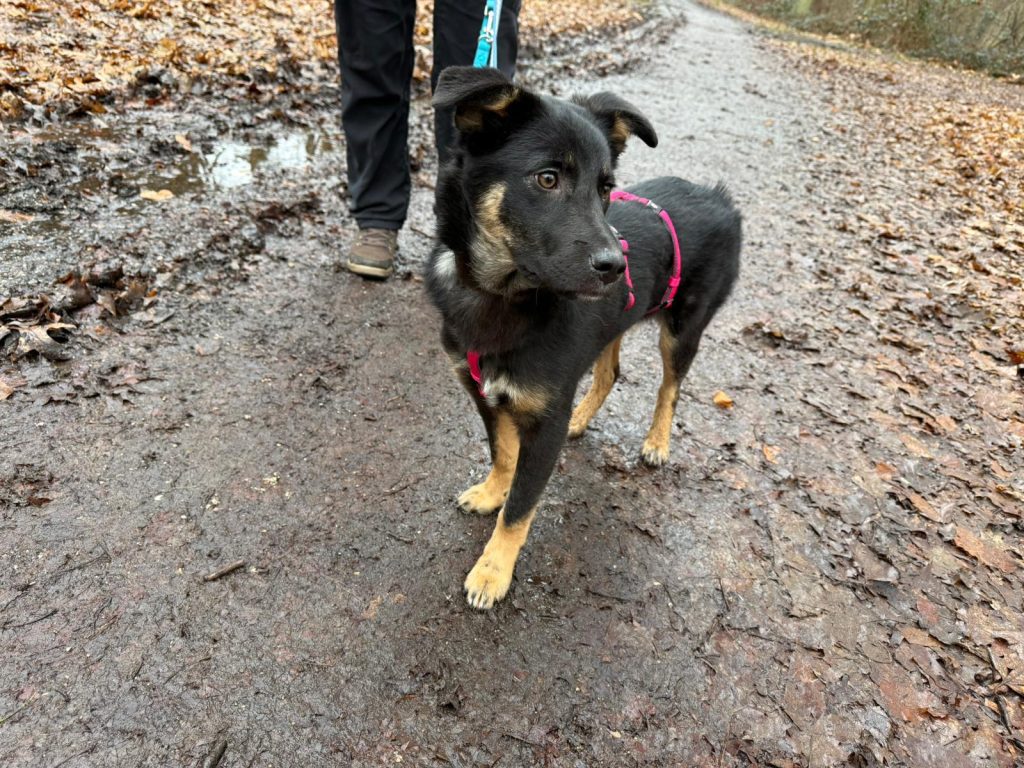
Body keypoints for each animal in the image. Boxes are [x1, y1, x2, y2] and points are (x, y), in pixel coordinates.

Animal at [425, 66, 741, 609]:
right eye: (547, 178)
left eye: (605, 188)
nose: (615, 265)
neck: (499, 294)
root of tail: (718, 196)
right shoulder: (485, 395)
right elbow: (502, 455)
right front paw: (491, 492)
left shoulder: (544, 420)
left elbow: (521, 507)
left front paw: (492, 571)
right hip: (616, 320)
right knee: (610, 371)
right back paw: (584, 418)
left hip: (683, 329)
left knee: (670, 388)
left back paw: (657, 441)